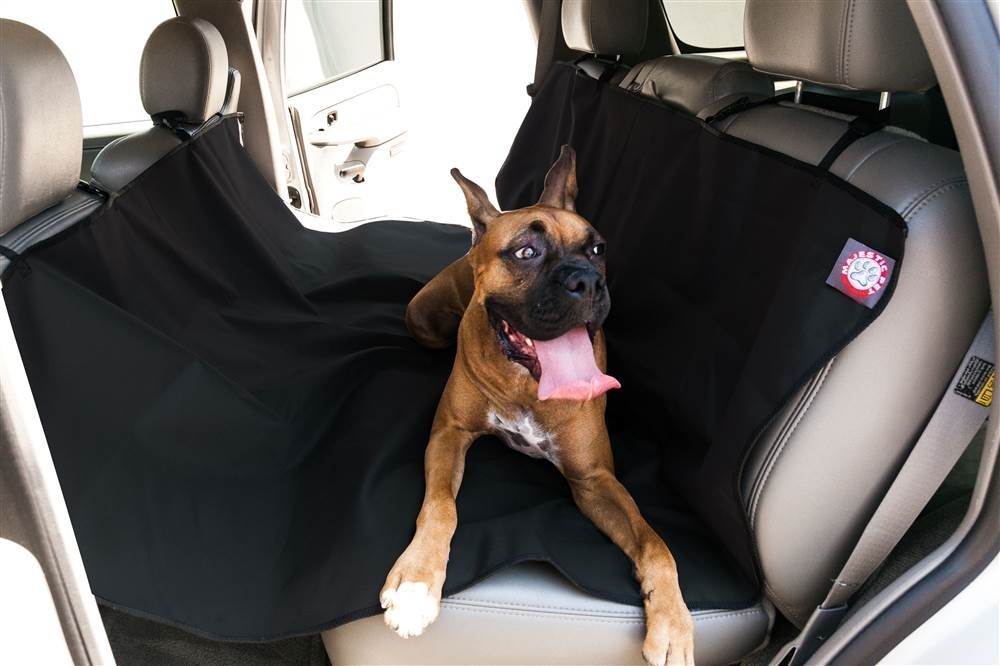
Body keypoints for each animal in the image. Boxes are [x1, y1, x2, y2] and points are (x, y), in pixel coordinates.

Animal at [378, 147, 692, 664]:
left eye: (597, 250)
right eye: (527, 252)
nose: (587, 282)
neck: (527, 381)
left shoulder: (594, 481)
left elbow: (655, 543)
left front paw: (674, 621)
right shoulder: (449, 434)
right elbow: (442, 506)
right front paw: (417, 586)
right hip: (421, 319)